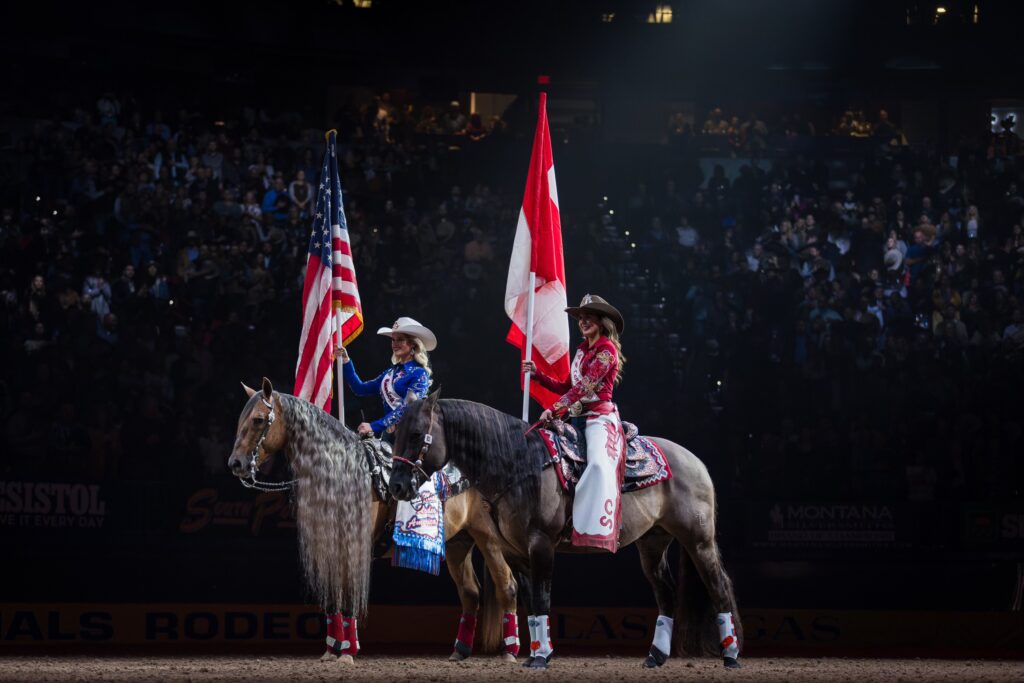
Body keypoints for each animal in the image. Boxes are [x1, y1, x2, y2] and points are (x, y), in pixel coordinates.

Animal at [229, 378, 524, 663]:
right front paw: (332, 649)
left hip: (487, 536)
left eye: (258, 419)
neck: (340, 472)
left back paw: (510, 651)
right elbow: (333, 598)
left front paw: (347, 652)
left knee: (507, 586)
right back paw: (460, 651)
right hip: (457, 543)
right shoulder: (328, 544)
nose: (236, 464)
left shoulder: (353, 545)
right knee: (470, 593)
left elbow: (349, 597)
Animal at [387, 393, 741, 671]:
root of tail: (695, 462)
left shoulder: (541, 544)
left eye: (417, 434)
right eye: (396, 434)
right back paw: (655, 656)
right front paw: (534, 654)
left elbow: (542, 597)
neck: (518, 463)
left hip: (698, 541)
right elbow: (531, 600)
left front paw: (541, 656)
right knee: (666, 593)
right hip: (652, 544)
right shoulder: (515, 551)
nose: (397, 486)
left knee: (719, 587)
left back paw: (731, 655)